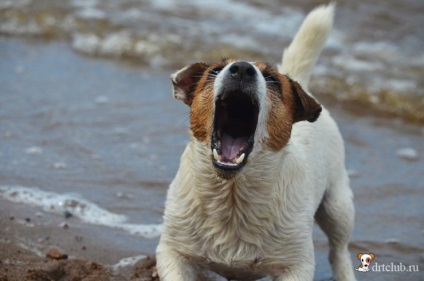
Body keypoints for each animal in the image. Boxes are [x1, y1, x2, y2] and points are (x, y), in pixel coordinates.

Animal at [156, 3, 354, 280]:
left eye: (272, 80)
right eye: (214, 71)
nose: (241, 68)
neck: (233, 195)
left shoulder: (296, 266)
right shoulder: (173, 253)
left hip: (338, 205)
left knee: (339, 249)